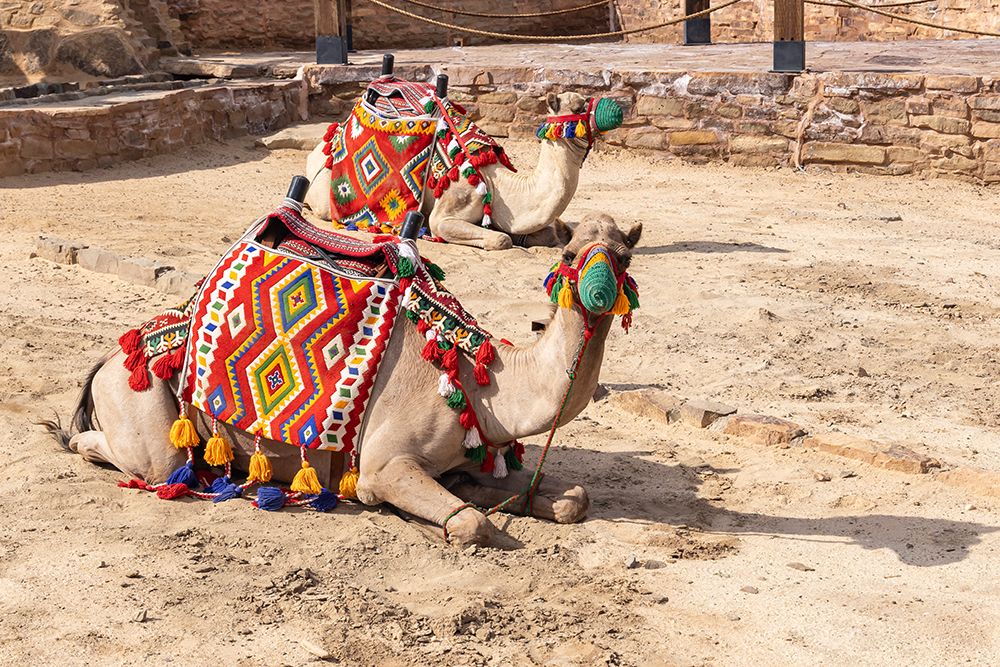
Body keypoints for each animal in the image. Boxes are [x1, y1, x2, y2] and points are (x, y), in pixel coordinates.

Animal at [44, 214, 641, 547]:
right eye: (569, 253)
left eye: (624, 254)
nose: (598, 293)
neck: (479, 382)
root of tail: (110, 358)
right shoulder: (386, 463)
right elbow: (470, 523)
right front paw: (421, 521)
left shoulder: (463, 459)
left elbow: (573, 499)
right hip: (140, 404)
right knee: (139, 458)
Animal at [305, 91, 611, 251]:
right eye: (579, 105)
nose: (610, 108)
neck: (498, 184)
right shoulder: (450, 206)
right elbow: (500, 239)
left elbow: (547, 234)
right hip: (326, 194)